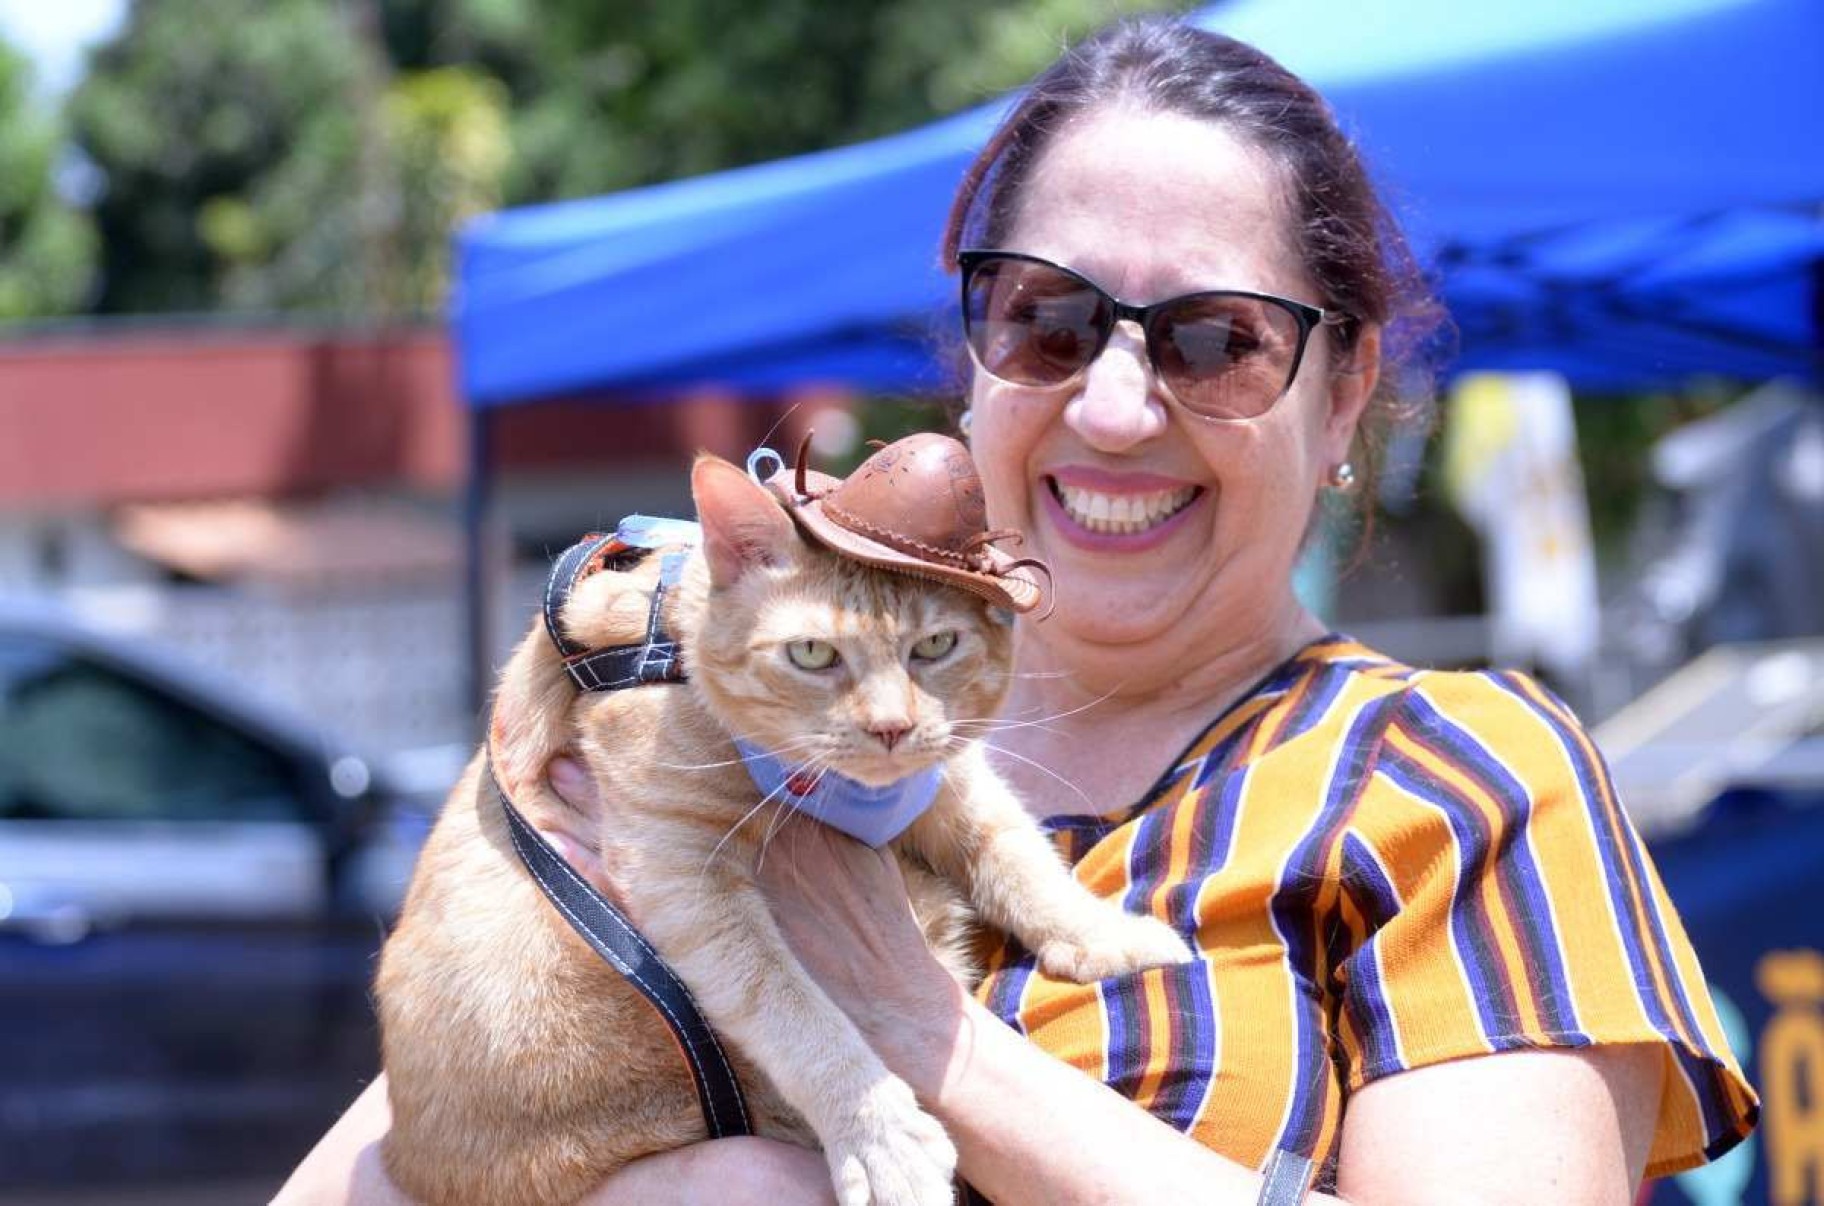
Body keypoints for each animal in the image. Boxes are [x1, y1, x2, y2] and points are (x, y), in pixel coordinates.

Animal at [377, 454, 1189, 1204]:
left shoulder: (954, 774)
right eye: (812, 653)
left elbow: (1020, 854)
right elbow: (795, 1011)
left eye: (934, 647)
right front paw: (882, 1138)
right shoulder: (683, 873)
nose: (891, 728)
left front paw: (1108, 935)